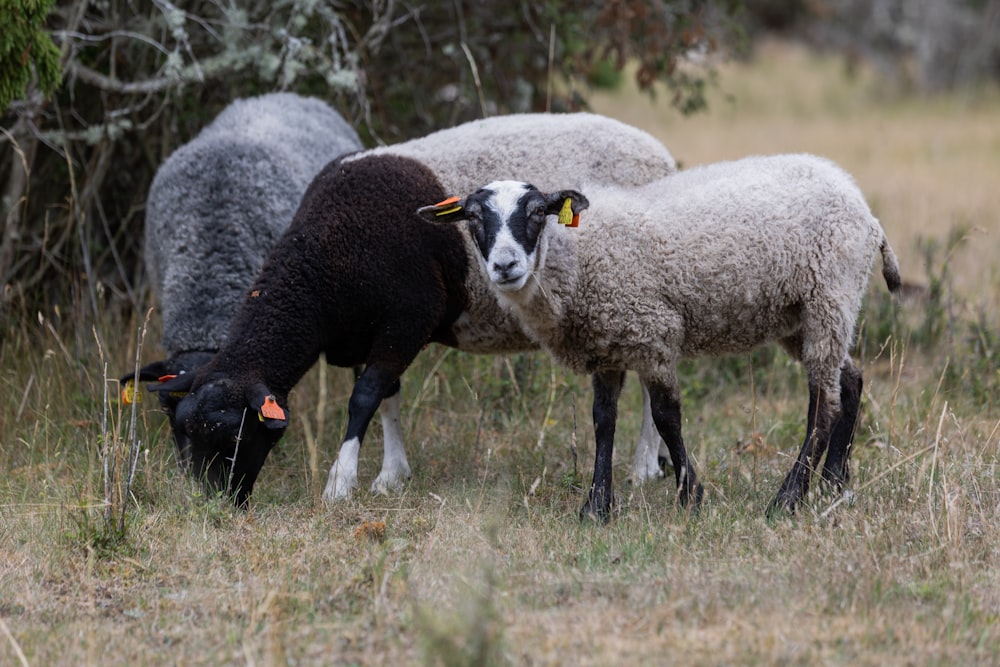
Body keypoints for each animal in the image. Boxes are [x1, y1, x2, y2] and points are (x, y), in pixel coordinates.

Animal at [146, 111, 680, 506]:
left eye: (233, 436)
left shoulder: (407, 319)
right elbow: (387, 397)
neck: (323, 262)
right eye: (180, 435)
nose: (210, 506)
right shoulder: (369, 331)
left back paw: (642, 467)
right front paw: (391, 475)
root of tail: (660, 153)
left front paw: (340, 484)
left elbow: (363, 398)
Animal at [418, 154, 904, 520]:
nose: (505, 266)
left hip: (830, 295)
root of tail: (867, 212)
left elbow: (667, 416)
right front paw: (596, 508)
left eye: (537, 212)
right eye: (473, 217)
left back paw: (788, 497)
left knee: (823, 404)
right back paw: (834, 483)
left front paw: (691, 495)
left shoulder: (651, 333)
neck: (577, 257)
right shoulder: (607, 343)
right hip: (802, 315)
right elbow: (603, 421)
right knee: (850, 379)